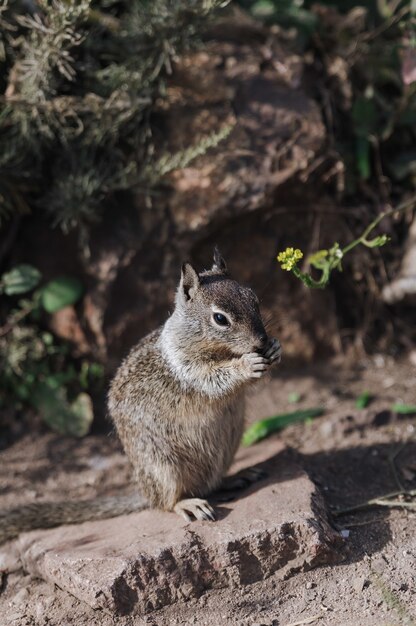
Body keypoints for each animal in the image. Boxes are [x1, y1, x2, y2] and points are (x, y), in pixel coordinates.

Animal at [0, 249, 282, 540]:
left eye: (254, 299)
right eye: (220, 319)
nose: (261, 340)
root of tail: (144, 493)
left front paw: (274, 348)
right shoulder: (188, 369)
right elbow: (213, 379)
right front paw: (246, 364)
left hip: (226, 451)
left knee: (211, 484)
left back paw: (236, 477)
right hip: (164, 468)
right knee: (168, 502)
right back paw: (189, 504)